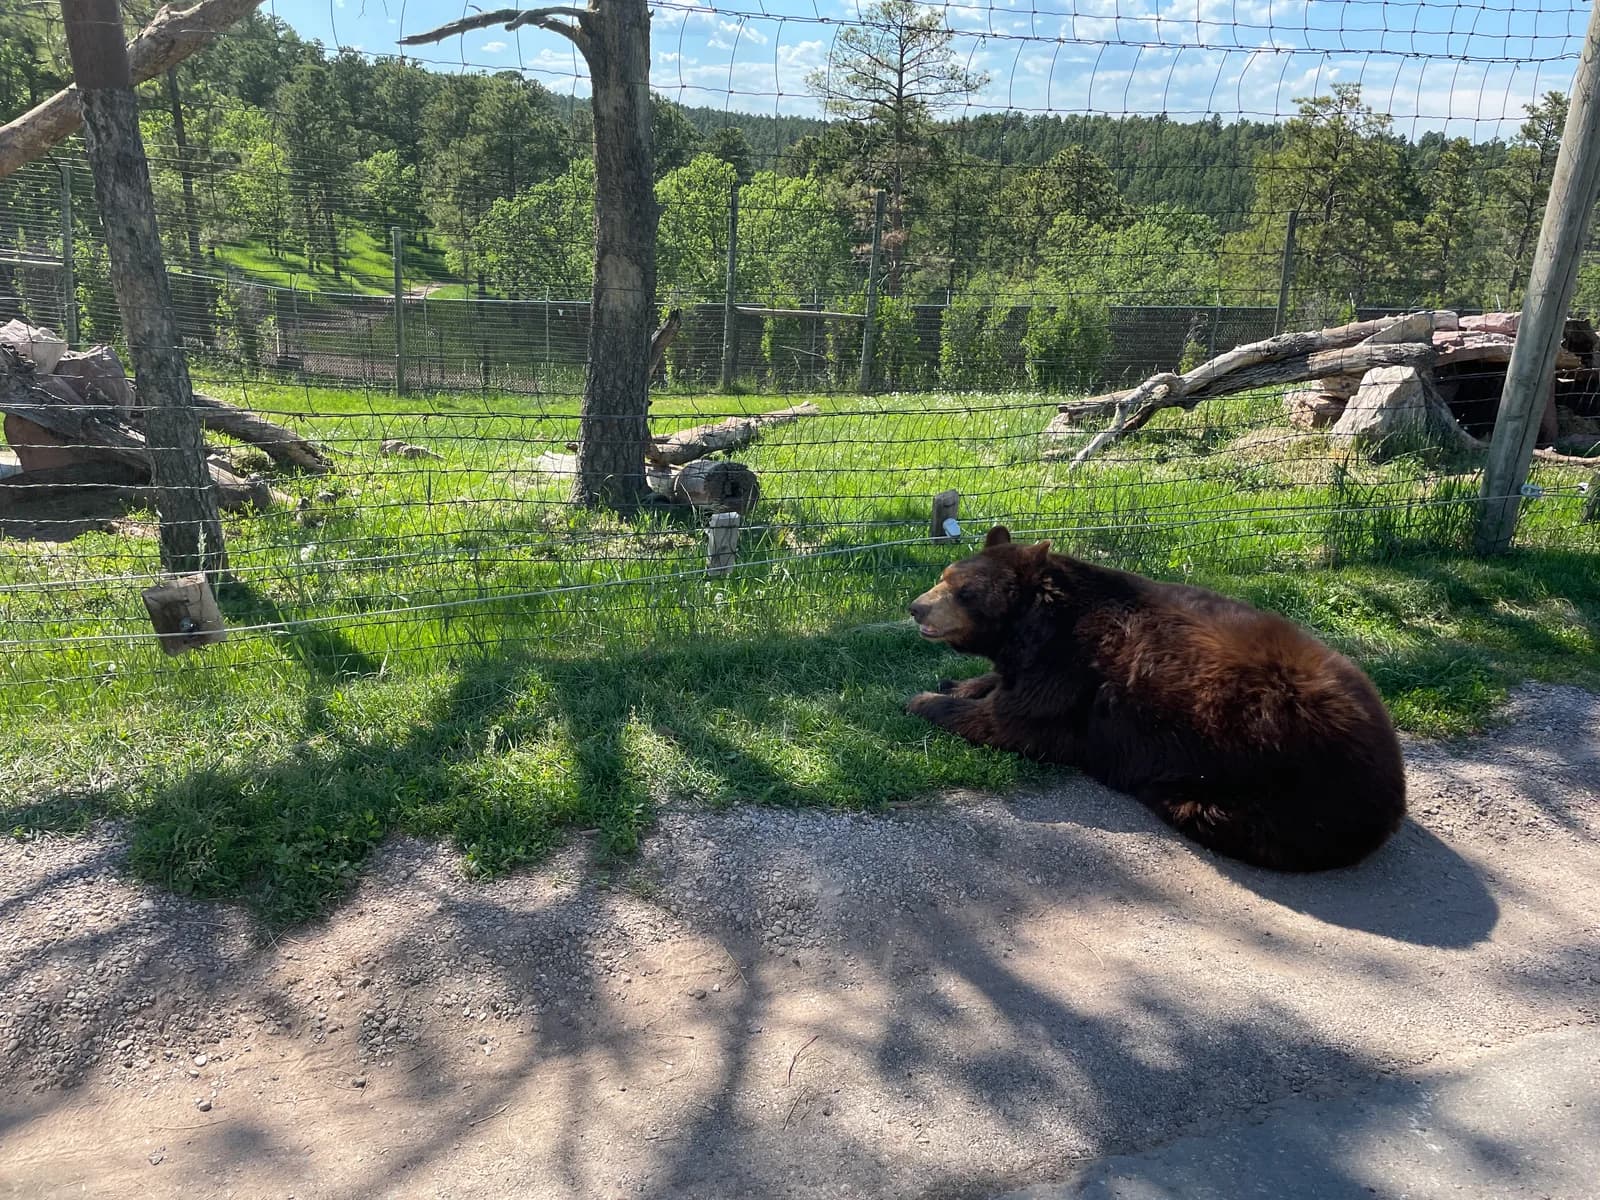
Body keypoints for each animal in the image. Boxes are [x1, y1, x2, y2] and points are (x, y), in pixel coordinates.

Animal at [906, 526, 1406, 871]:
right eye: (943, 575)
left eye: (965, 592)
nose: (916, 607)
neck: (1036, 625)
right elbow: (1000, 685)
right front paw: (958, 684)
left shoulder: (1069, 672)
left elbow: (1013, 720)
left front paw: (923, 699)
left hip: (1280, 783)